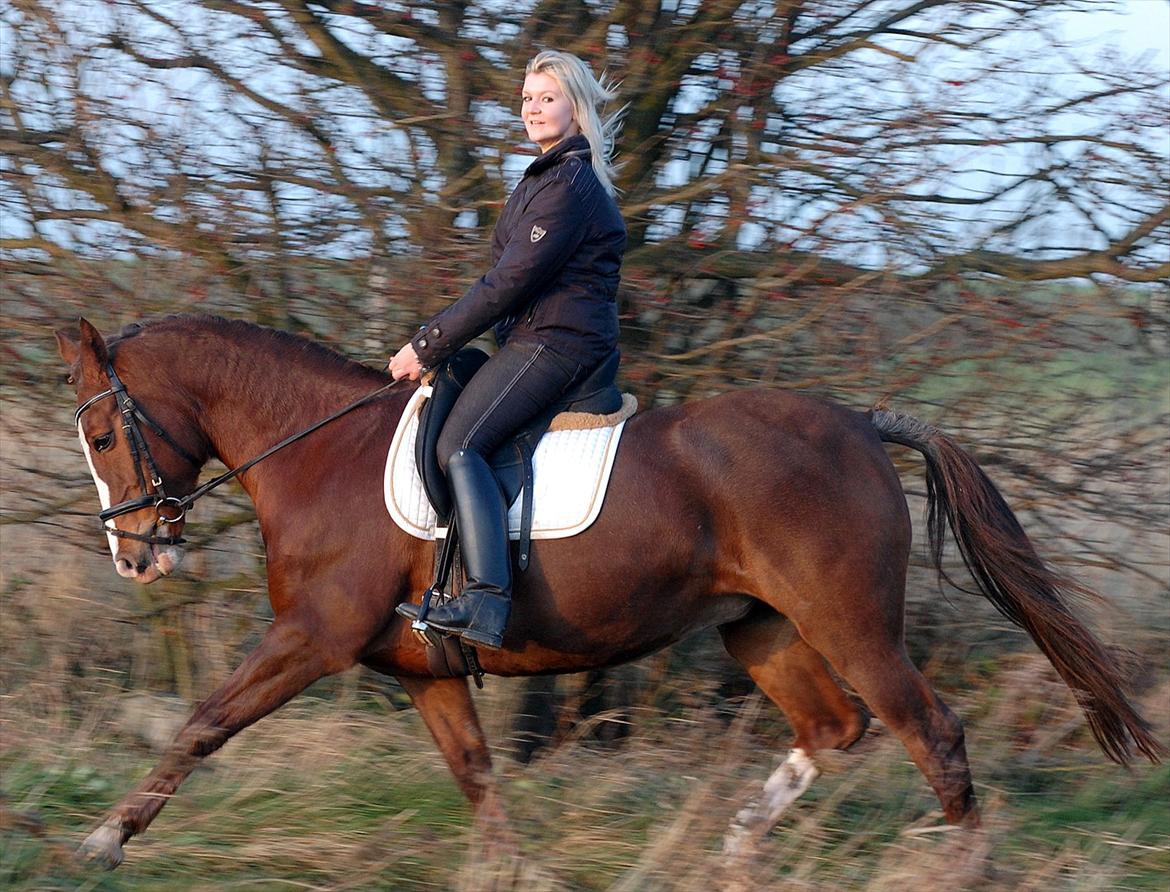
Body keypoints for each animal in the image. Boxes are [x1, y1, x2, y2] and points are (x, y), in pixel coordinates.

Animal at [55, 313, 1160, 869]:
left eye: (104, 434)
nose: (135, 558)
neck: (324, 455)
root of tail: (859, 421)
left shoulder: (312, 637)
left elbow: (203, 724)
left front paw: (103, 839)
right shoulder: (423, 670)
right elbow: (478, 777)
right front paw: (519, 873)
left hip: (849, 623)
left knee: (929, 731)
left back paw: (955, 865)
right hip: (761, 630)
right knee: (834, 726)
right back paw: (737, 846)